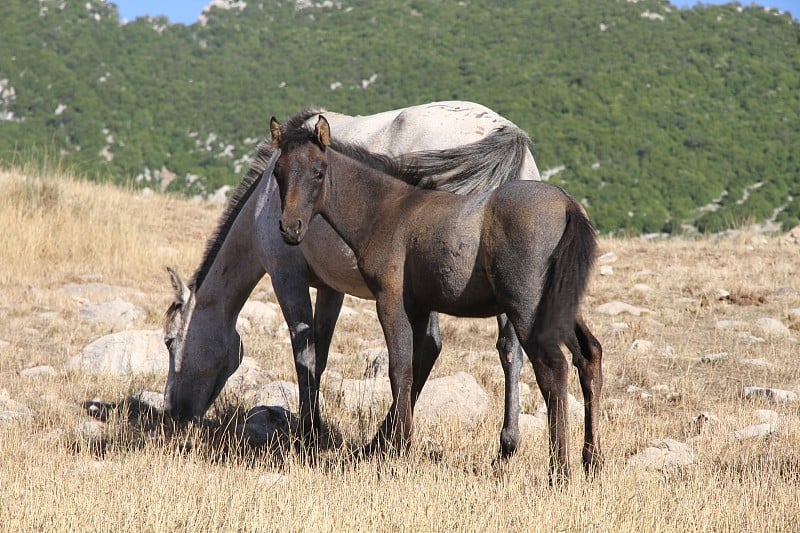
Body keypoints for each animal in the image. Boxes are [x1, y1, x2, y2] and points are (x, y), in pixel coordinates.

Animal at [167, 101, 544, 458]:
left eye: (170, 341)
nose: (173, 412)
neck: (264, 200)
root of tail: (505, 133)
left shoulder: (286, 278)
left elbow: (304, 355)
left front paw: (308, 432)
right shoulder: (331, 289)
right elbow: (321, 354)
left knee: (429, 347)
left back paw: (384, 438)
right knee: (509, 349)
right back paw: (505, 444)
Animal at [272, 113, 604, 482]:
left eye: (318, 171)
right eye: (277, 173)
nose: (290, 228)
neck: (388, 210)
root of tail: (567, 205)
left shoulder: (390, 301)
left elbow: (400, 370)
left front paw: (398, 450)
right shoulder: (418, 307)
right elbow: (415, 367)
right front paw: (396, 442)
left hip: (526, 309)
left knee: (553, 369)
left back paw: (559, 471)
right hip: (560, 305)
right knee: (589, 356)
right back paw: (592, 461)